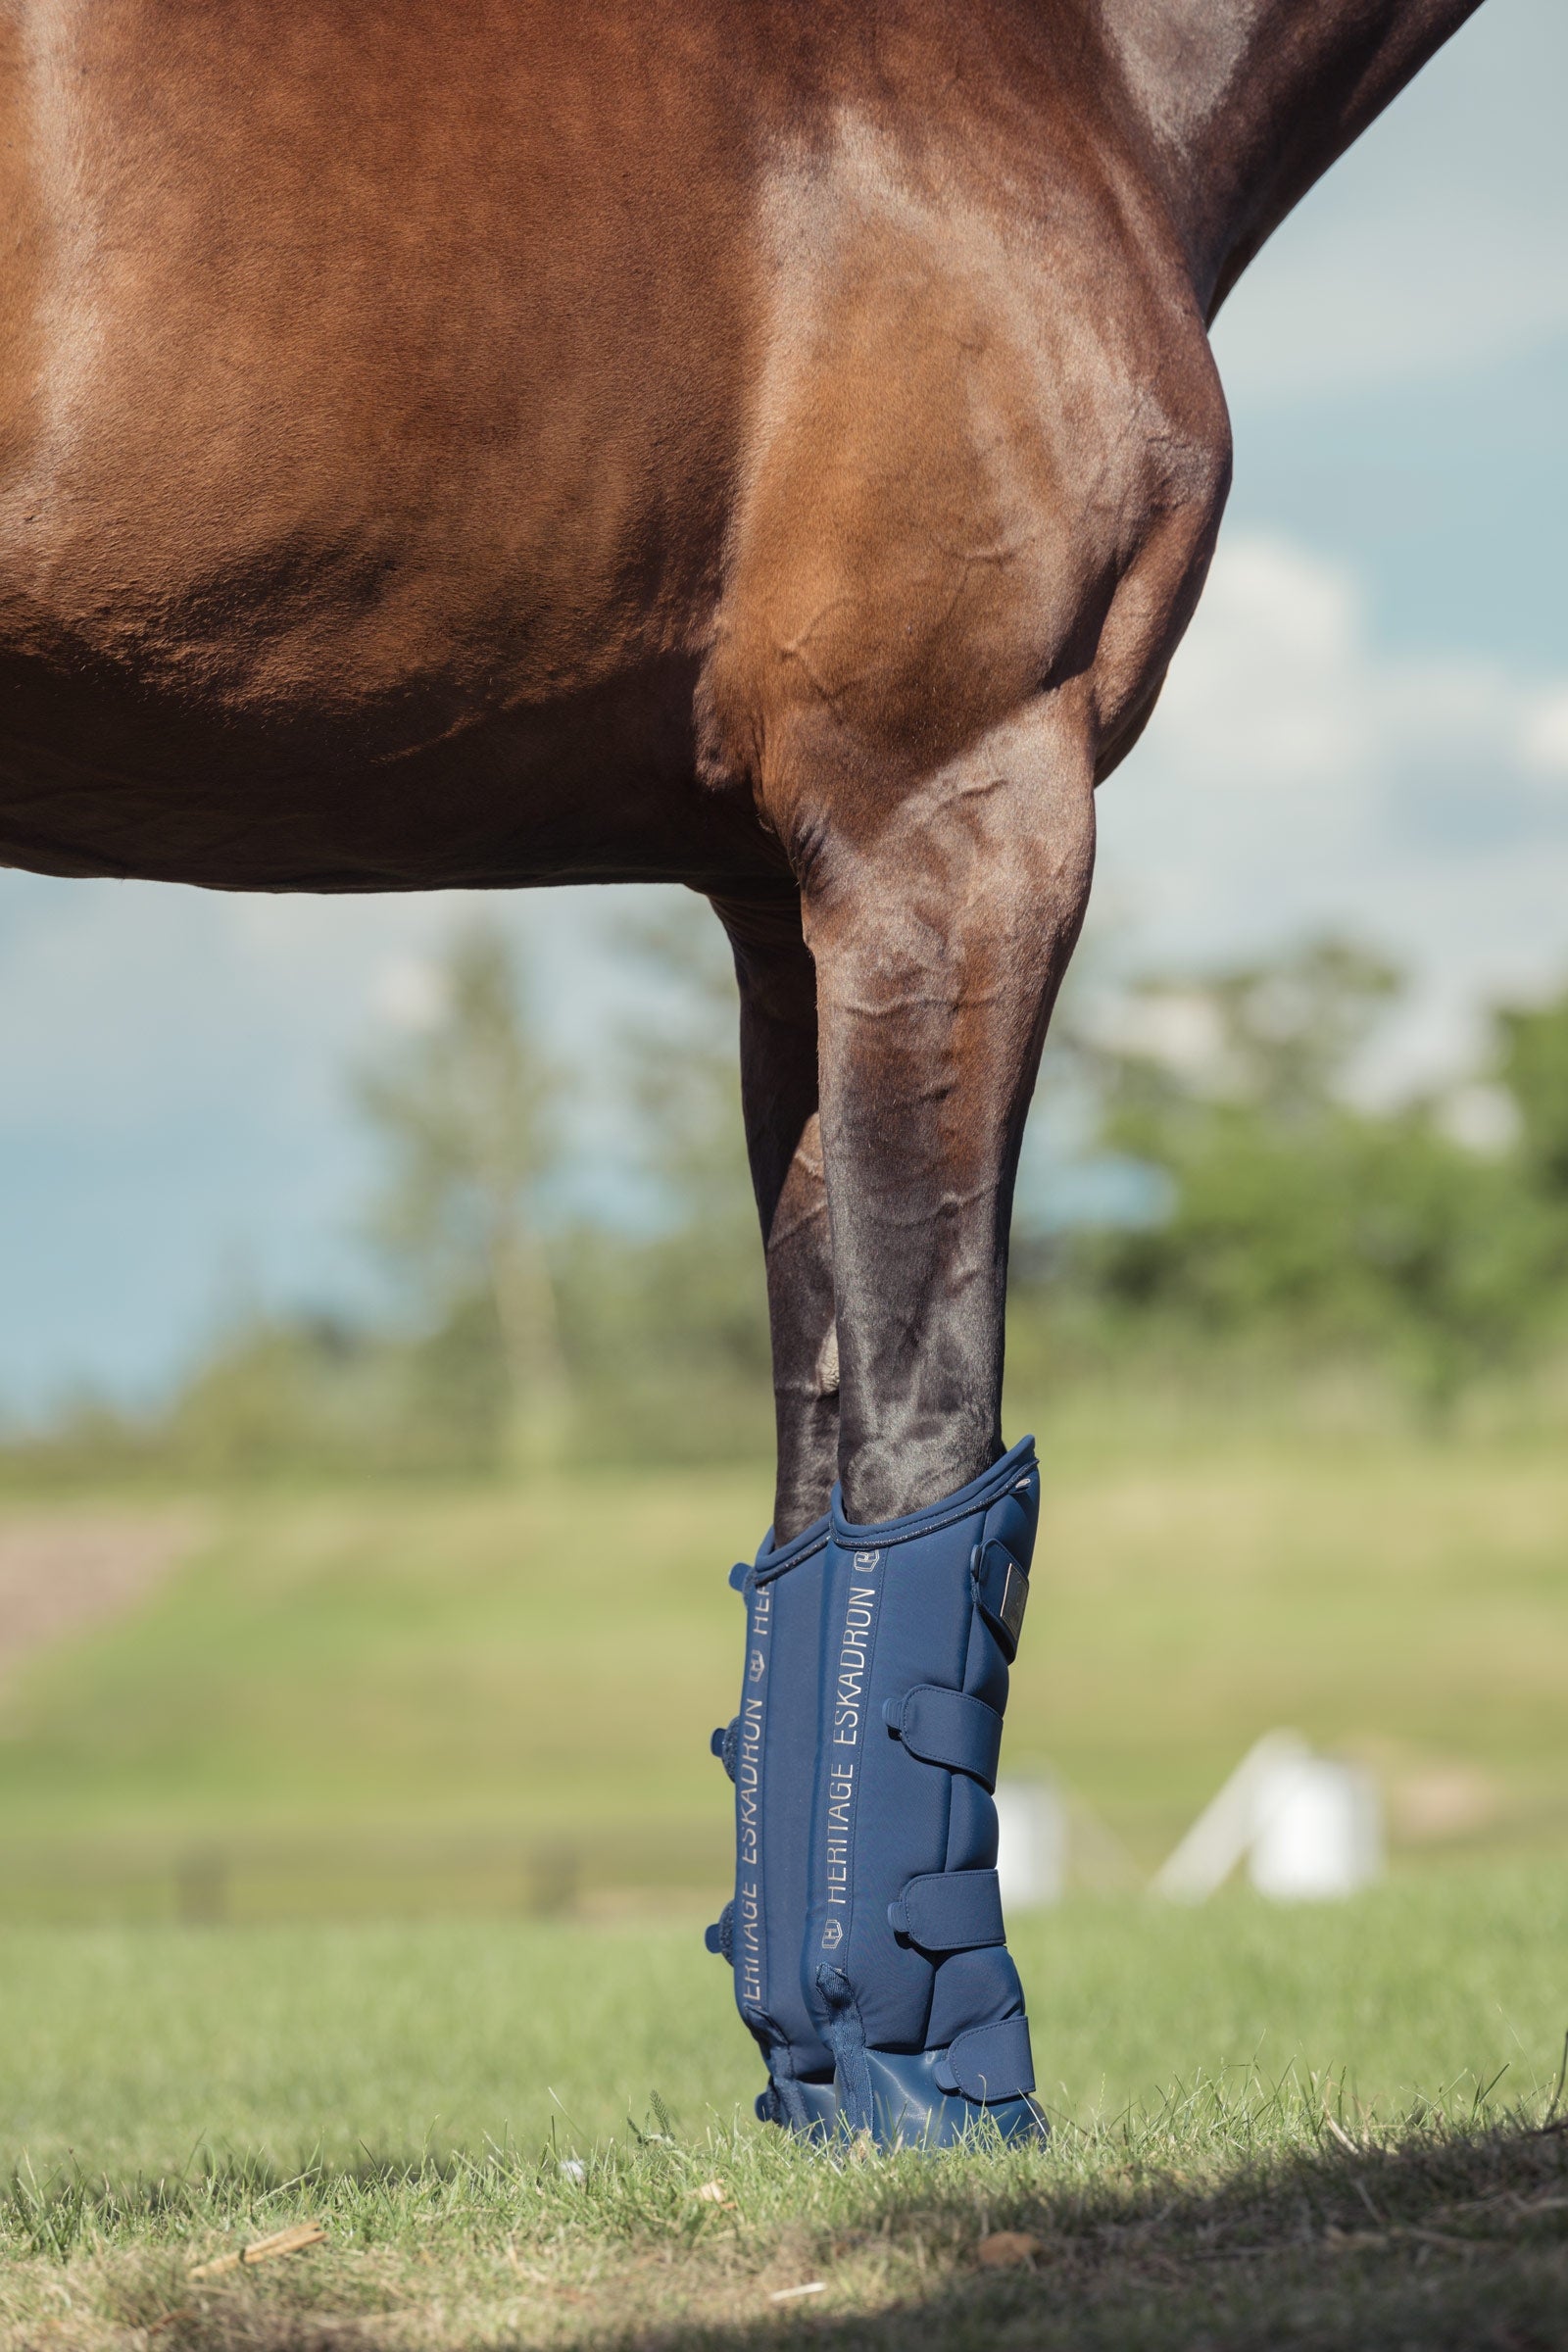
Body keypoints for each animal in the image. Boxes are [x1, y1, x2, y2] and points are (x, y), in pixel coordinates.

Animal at [0, 0, 1486, 2142]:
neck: (1064, 74)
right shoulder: (956, 801)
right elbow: (935, 1423)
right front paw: (943, 2096)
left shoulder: (779, 897)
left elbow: (815, 1469)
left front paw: (829, 2085)